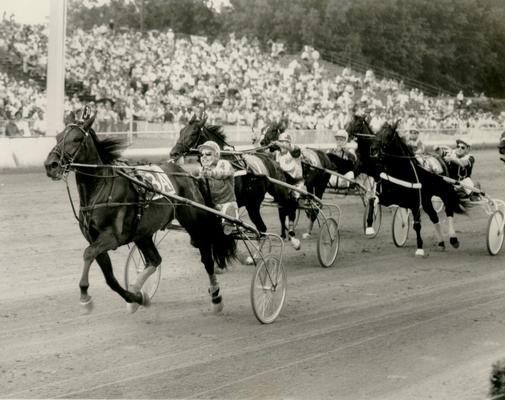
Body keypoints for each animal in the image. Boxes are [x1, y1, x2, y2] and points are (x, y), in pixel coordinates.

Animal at [43, 111, 236, 314]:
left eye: (77, 138)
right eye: (58, 137)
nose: (51, 165)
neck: (101, 189)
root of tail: (187, 174)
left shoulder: (111, 238)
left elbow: (88, 254)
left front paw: (85, 297)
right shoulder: (95, 239)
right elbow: (110, 279)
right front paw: (136, 297)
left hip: (194, 223)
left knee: (206, 257)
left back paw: (216, 298)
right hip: (142, 232)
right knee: (154, 260)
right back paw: (138, 289)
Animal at [171, 114, 302, 248]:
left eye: (193, 133)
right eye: (181, 131)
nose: (173, 153)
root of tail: (273, 161)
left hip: (267, 197)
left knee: (285, 209)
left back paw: (292, 237)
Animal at [348, 114, 462, 255]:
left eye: (389, 135)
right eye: (377, 134)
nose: (374, 150)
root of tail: (441, 158)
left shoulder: (414, 202)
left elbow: (417, 224)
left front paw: (419, 248)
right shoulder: (388, 194)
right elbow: (372, 199)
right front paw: (370, 226)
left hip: (443, 191)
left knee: (449, 210)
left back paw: (453, 239)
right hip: (426, 199)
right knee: (434, 216)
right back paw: (441, 243)